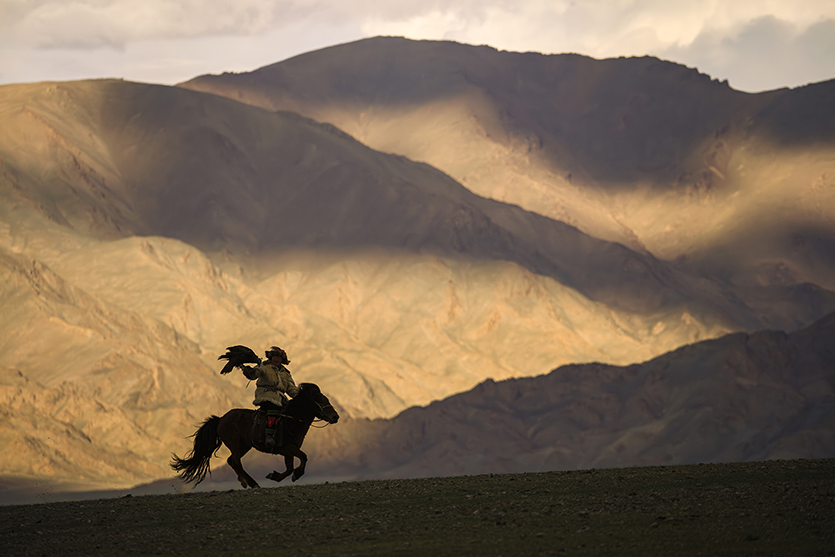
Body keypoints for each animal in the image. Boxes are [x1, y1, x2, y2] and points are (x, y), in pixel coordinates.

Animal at [170, 382, 340, 486]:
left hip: (245, 445)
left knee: (231, 461)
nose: (335, 417)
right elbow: (303, 458)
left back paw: (245, 482)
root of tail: (220, 419)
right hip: (235, 444)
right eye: (319, 401)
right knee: (236, 462)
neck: (291, 420)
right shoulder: (287, 448)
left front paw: (274, 476)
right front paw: (297, 475)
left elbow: (289, 467)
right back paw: (253, 483)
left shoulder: (288, 451)